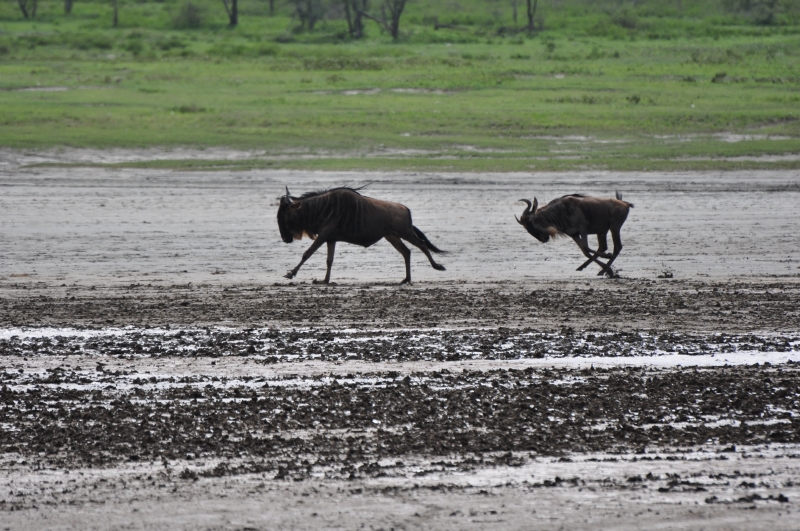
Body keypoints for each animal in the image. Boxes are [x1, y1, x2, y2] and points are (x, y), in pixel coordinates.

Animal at [277, 186, 446, 284]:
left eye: (284, 214)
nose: (285, 239)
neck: (320, 209)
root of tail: (405, 208)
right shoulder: (330, 239)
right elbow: (329, 260)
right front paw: (324, 280)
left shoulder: (324, 236)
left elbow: (307, 253)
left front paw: (291, 274)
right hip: (392, 236)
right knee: (406, 252)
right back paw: (406, 279)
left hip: (406, 232)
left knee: (422, 245)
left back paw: (437, 266)